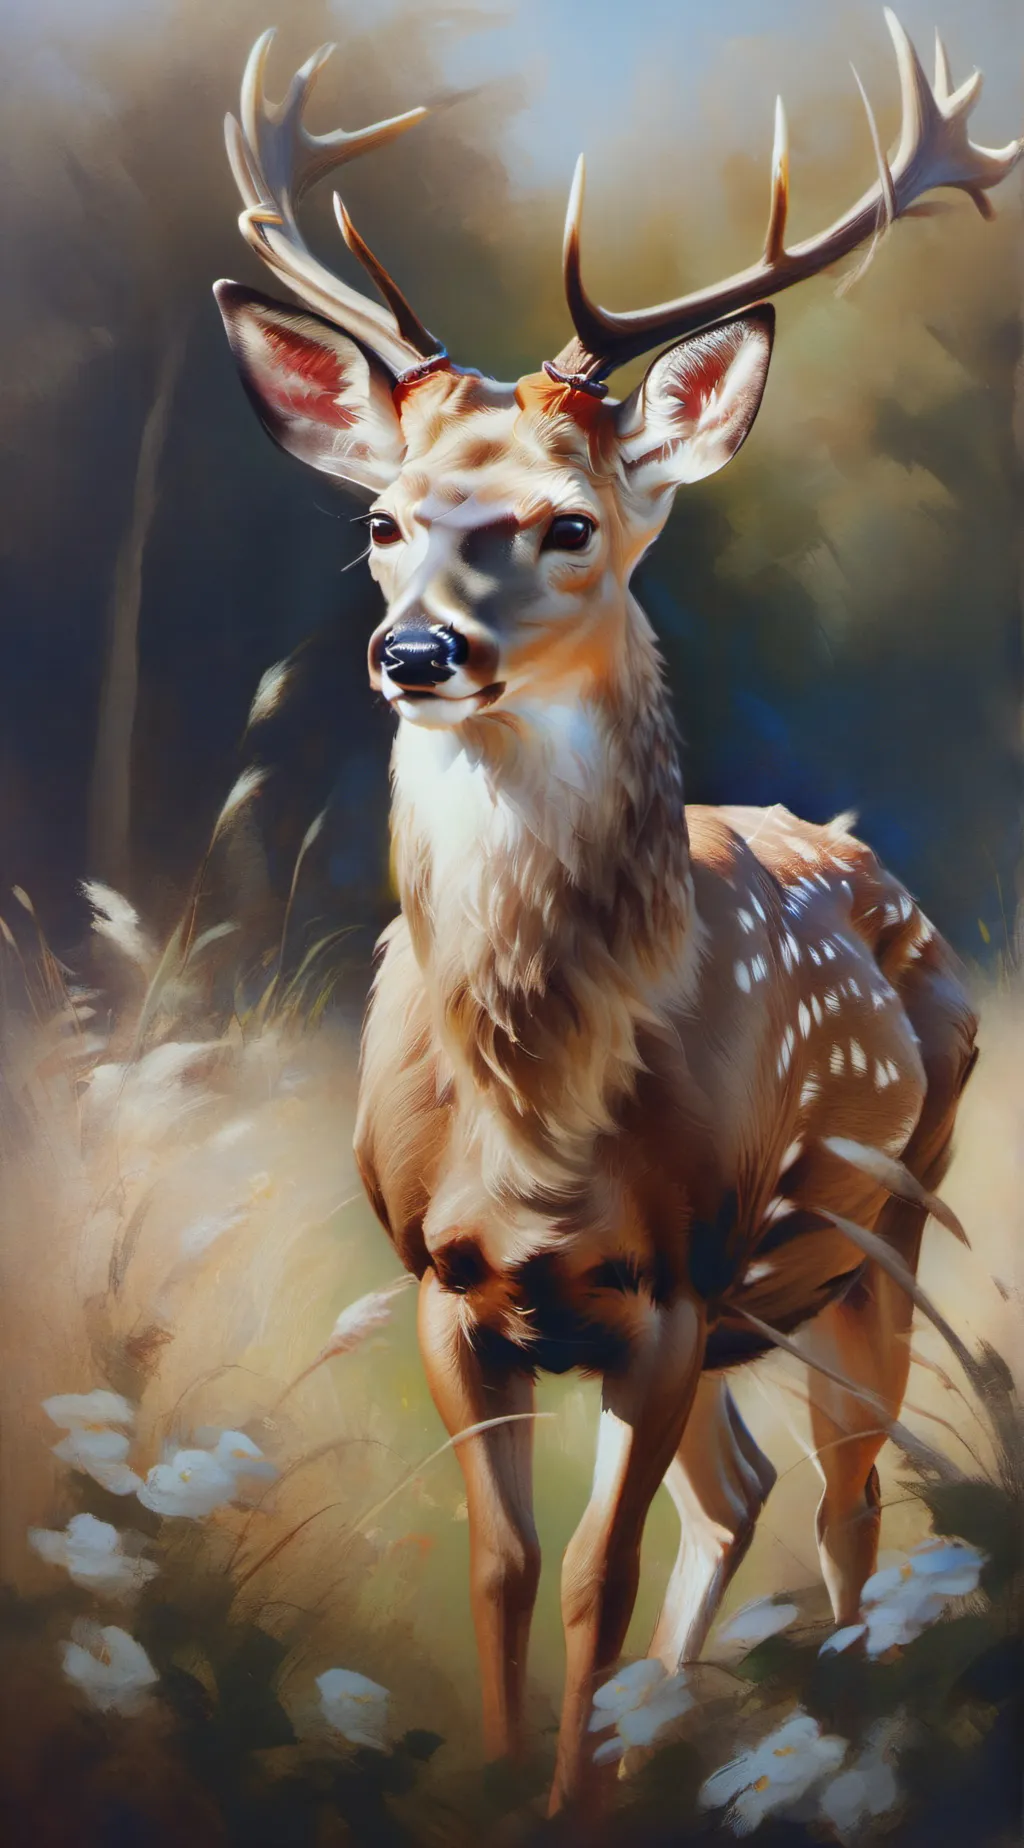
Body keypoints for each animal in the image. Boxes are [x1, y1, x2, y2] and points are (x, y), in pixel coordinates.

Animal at [215, 12, 1019, 1812]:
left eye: (567, 519)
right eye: (382, 520)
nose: (414, 650)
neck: (533, 1120)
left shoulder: (672, 1280)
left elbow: (600, 1564)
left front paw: (573, 1797)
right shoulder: (449, 1285)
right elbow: (508, 1565)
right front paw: (519, 1784)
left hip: (874, 1231)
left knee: (847, 1499)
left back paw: (837, 1735)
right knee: (746, 1490)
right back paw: (678, 1730)